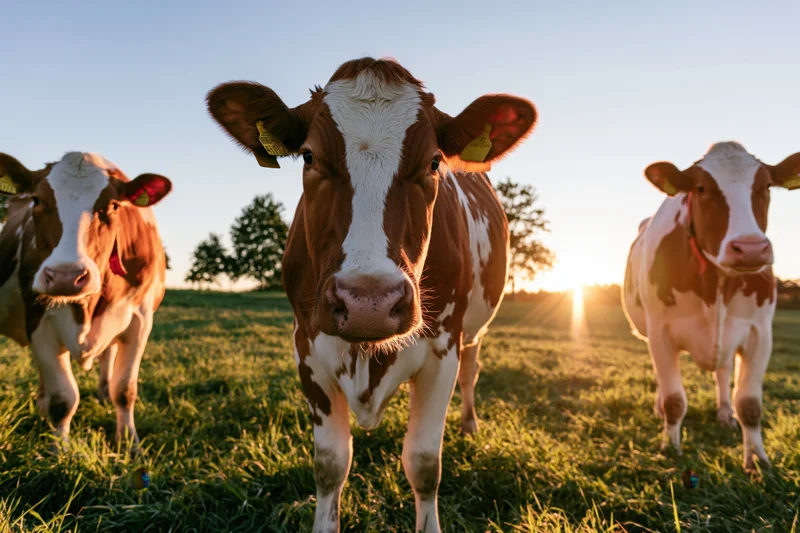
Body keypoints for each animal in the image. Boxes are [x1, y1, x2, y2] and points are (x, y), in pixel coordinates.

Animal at [0, 152, 172, 450]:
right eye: (37, 200)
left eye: (113, 206)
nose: (66, 277)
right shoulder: (38, 320)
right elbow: (63, 397)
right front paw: (59, 449)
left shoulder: (140, 321)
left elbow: (124, 389)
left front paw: (129, 443)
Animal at [207, 57, 536, 532]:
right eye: (309, 156)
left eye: (434, 162)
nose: (369, 303)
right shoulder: (306, 347)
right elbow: (330, 465)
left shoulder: (443, 350)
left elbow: (424, 464)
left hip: (472, 333)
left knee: (472, 373)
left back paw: (470, 426)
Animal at [623, 141, 800, 471]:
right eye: (701, 188)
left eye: (766, 186)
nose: (750, 248)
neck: (718, 283)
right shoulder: (660, 331)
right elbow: (674, 399)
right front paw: (670, 448)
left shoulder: (759, 333)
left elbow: (750, 405)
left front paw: (757, 461)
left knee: (723, 371)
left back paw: (724, 413)